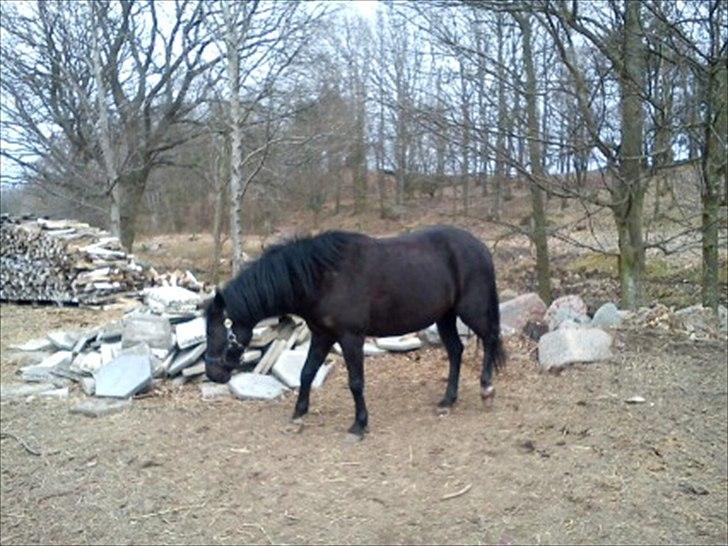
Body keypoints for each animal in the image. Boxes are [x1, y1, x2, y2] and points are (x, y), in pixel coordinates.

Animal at [202, 224, 504, 434]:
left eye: (217, 330)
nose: (213, 373)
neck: (321, 278)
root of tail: (480, 247)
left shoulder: (351, 338)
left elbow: (355, 382)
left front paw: (359, 424)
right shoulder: (322, 335)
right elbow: (307, 372)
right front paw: (299, 413)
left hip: (472, 309)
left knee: (489, 339)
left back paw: (487, 390)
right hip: (445, 317)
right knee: (456, 351)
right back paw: (448, 400)